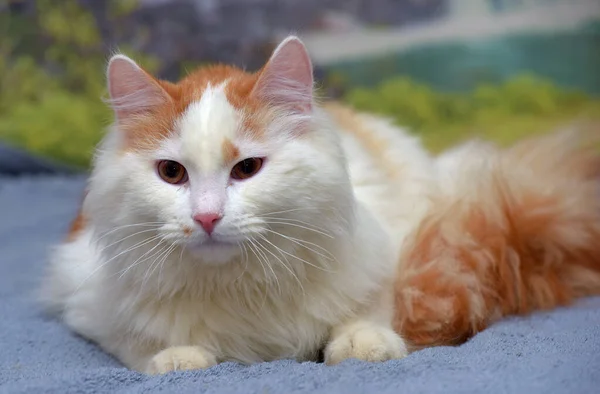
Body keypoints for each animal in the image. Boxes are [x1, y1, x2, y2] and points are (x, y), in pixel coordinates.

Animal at [39, 36, 434, 372]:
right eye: (171, 172)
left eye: (247, 168)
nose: (206, 217)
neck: (238, 286)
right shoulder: (85, 296)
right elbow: (137, 340)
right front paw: (177, 357)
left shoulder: (383, 252)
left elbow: (367, 310)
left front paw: (362, 341)